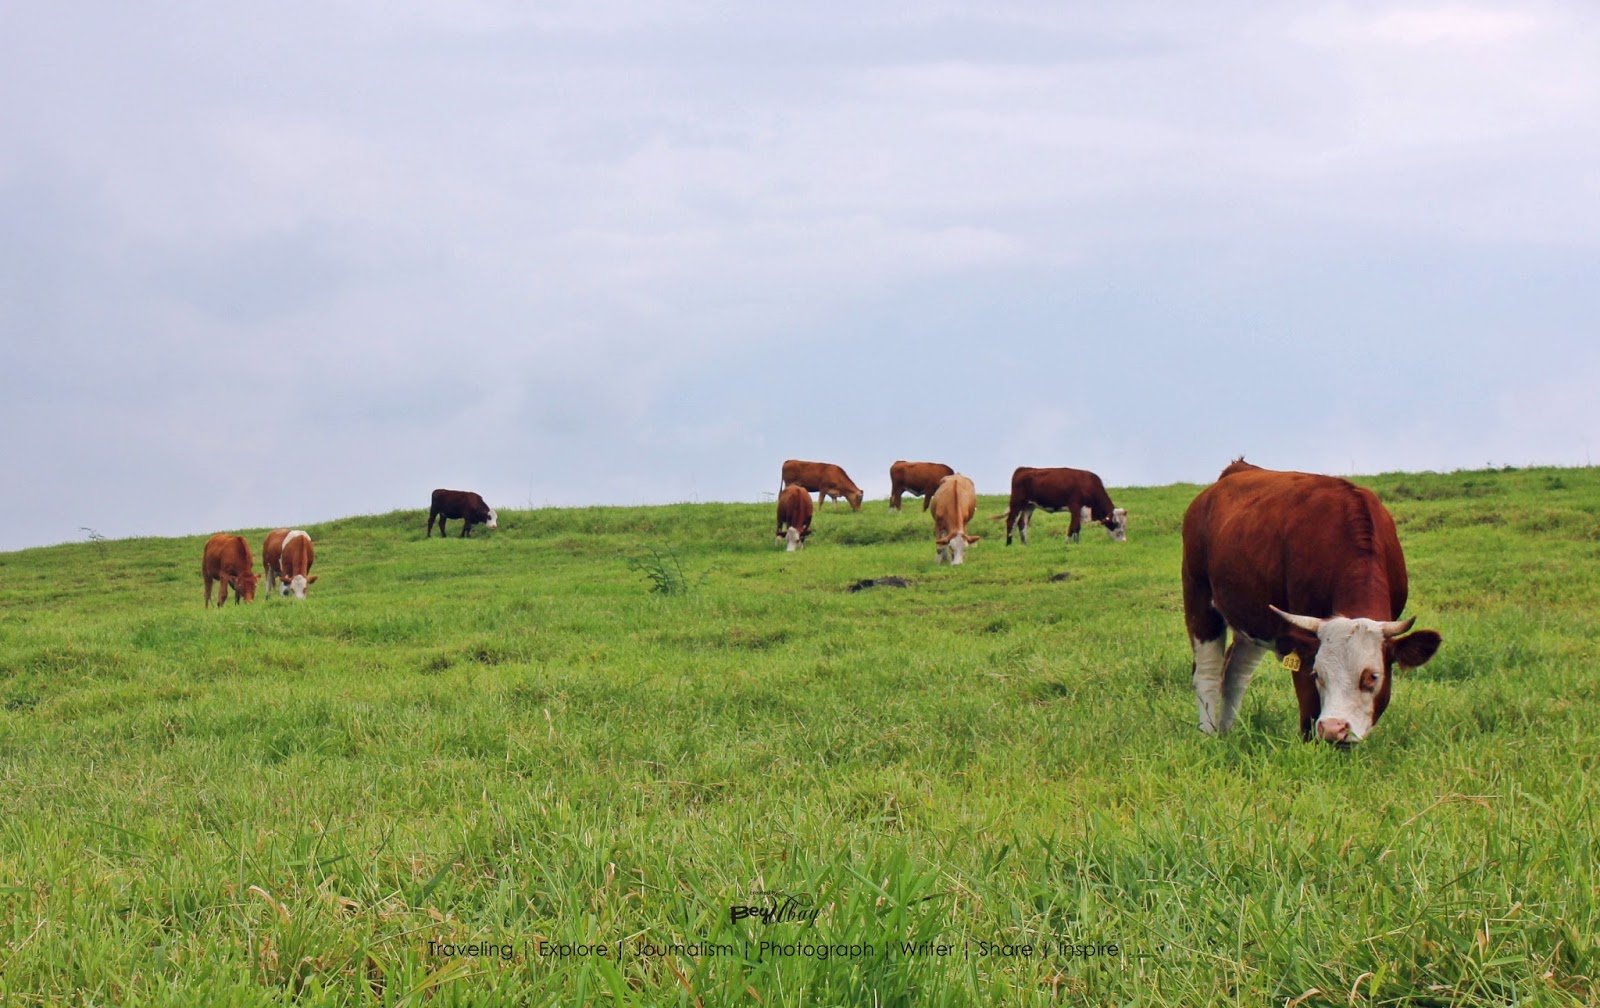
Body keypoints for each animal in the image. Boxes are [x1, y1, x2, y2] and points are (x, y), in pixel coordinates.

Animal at [998, 473, 1126, 550]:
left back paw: (1024, 544)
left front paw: (1071, 543)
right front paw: (1073, 543)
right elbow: (1075, 527)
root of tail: (1023, 469)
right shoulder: (1075, 506)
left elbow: (1074, 527)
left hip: (1029, 506)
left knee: (1022, 523)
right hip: (1017, 503)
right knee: (1011, 521)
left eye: (1124, 525)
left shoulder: (1078, 511)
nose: (1124, 541)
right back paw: (1008, 544)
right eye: (1115, 523)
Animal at [1184, 460, 1446, 745]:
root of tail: (1237, 469)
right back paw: (1209, 736)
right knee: (1207, 673)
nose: (1335, 728)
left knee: (1235, 673)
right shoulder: (1303, 645)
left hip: (1251, 618)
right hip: (1198, 598)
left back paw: (1226, 734)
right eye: (1318, 674)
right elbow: (1309, 710)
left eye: (1373, 676)